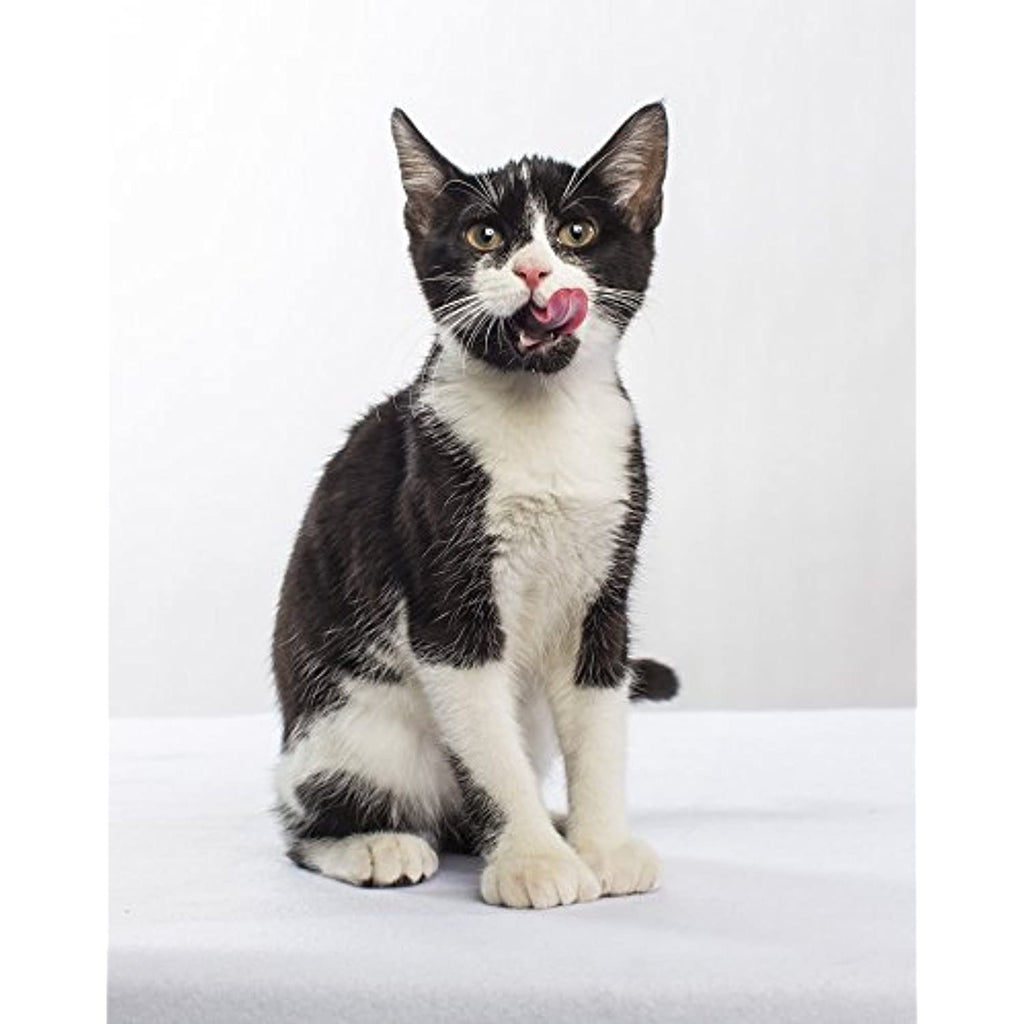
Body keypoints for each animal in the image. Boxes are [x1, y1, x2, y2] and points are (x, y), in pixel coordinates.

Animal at [273, 102, 677, 909]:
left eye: (576, 232)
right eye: (484, 237)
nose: (532, 269)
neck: (544, 419)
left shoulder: (605, 587)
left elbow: (601, 720)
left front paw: (600, 844)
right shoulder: (443, 585)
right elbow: (488, 745)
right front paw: (533, 860)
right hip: (354, 732)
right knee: (308, 816)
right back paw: (373, 843)